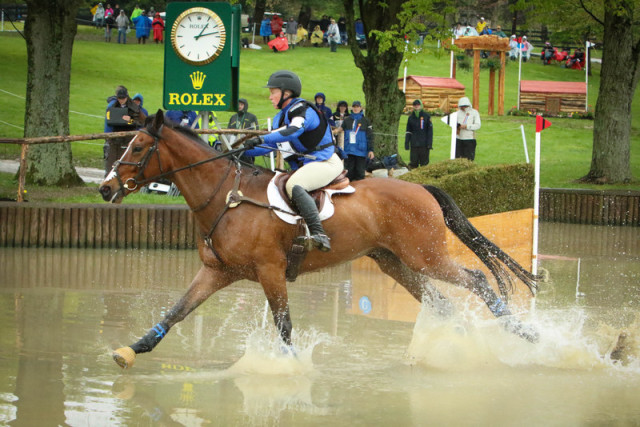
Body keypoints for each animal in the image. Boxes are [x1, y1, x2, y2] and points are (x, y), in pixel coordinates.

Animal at [99, 109, 540, 368]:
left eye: (138, 146)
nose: (105, 188)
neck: (226, 197)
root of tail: (420, 187)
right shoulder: (216, 272)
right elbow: (175, 312)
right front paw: (130, 351)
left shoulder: (270, 271)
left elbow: (284, 325)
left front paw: (291, 368)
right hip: (392, 262)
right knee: (443, 303)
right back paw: (455, 346)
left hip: (425, 256)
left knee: (477, 280)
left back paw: (526, 335)